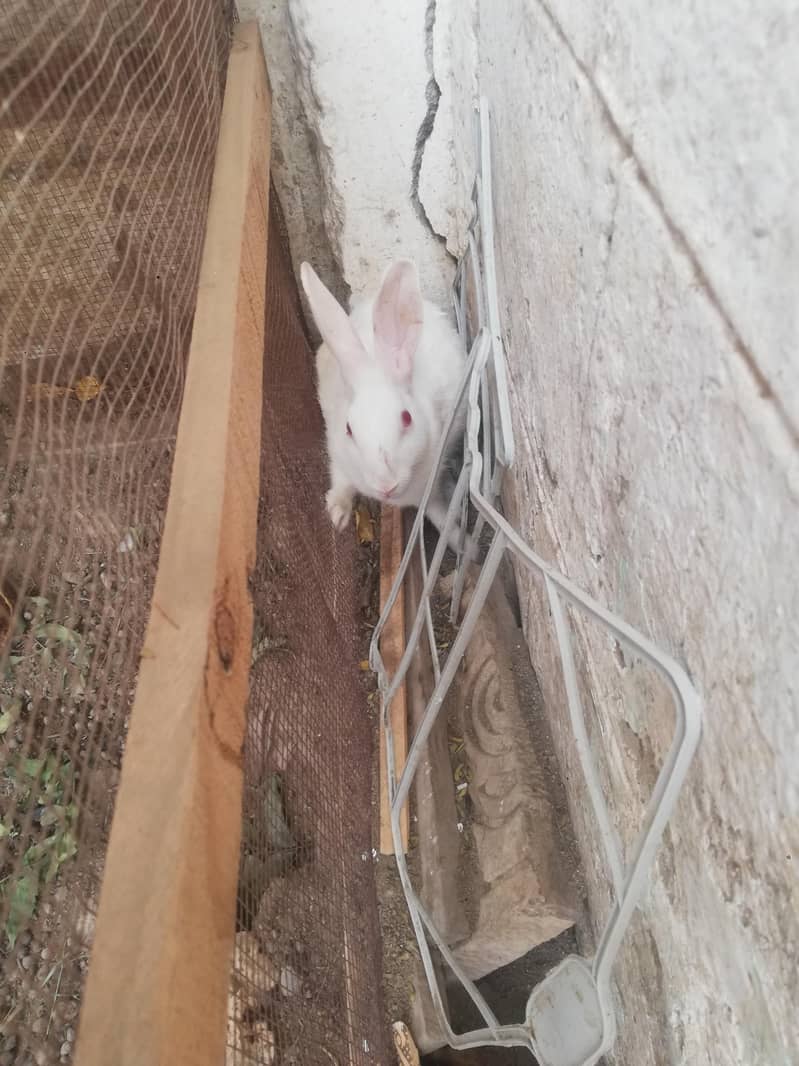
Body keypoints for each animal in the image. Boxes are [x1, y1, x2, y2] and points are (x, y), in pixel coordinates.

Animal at [300, 258, 470, 553]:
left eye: (406, 418)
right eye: (349, 429)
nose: (386, 485)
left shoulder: (429, 486)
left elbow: (439, 516)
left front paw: (467, 548)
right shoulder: (338, 453)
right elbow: (341, 480)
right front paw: (337, 515)